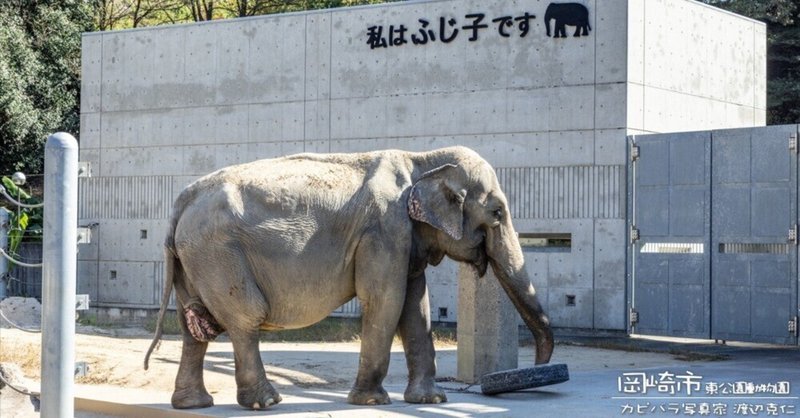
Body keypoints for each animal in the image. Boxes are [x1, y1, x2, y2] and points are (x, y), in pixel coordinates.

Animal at [144, 146, 552, 408]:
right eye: (497, 212)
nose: (538, 369)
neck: (422, 159)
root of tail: (180, 202)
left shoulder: (405, 240)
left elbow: (416, 309)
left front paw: (431, 400)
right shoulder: (384, 231)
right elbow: (385, 301)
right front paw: (371, 401)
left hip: (195, 259)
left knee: (194, 328)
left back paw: (193, 405)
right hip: (219, 254)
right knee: (244, 318)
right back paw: (267, 402)